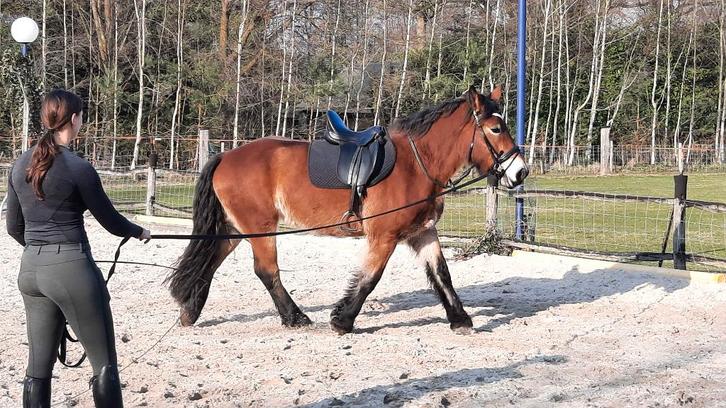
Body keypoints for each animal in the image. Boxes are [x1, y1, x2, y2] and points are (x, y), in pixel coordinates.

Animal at [166, 86, 529, 334]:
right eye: (496, 129)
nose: (521, 172)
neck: (416, 163)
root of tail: (225, 156)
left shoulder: (423, 232)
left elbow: (442, 275)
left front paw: (460, 319)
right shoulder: (384, 236)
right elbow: (370, 278)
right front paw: (342, 320)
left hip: (236, 229)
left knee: (210, 261)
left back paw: (190, 309)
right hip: (260, 227)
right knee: (266, 271)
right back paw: (295, 317)